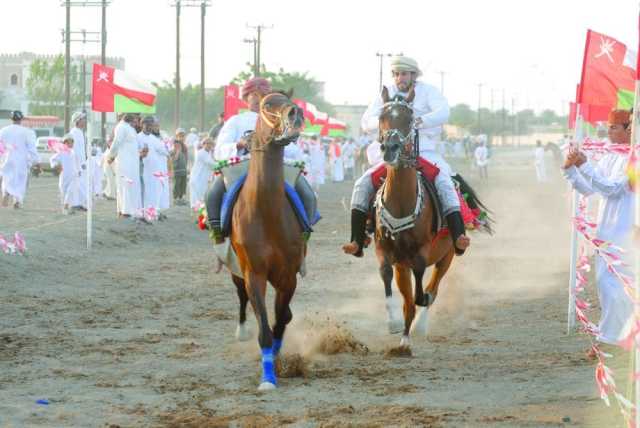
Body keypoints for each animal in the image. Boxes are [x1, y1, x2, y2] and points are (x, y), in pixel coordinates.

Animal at [376, 87, 464, 348]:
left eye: (409, 118)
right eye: (381, 117)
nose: (390, 148)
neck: (401, 204)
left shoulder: (421, 253)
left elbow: (421, 292)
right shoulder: (385, 250)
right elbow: (387, 276)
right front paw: (393, 323)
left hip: (447, 256)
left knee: (433, 288)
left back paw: (420, 325)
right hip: (402, 265)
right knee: (410, 298)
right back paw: (405, 338)